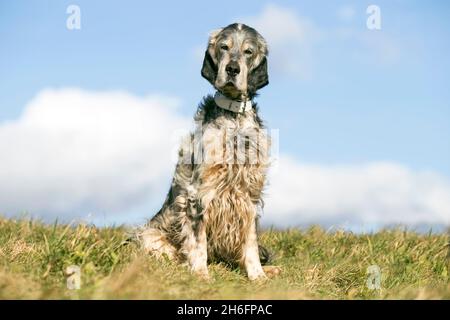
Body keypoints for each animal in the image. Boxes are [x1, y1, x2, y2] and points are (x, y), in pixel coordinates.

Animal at [140, 23, 274, 282]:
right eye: (224, 47)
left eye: (248, 51)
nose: (232, 69)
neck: (234, 119)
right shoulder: (197, 193)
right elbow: (197, 241)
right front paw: (201, 274)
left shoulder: (250, 195)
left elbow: (251, 241)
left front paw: (258, 275)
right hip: (150, 236)